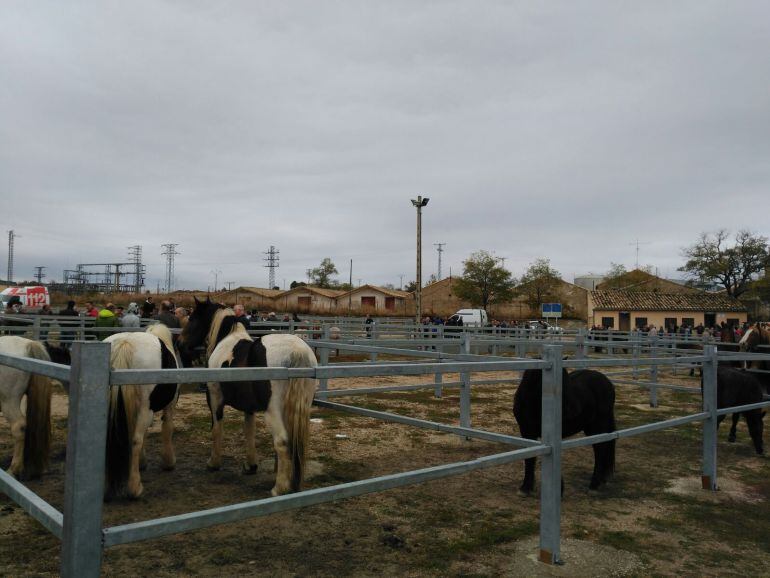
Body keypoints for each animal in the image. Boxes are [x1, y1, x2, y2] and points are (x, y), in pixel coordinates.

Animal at [103, 322, 178, 498]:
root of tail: (125, 343)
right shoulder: (169, 406)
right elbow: (167, 428)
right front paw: (169, 462)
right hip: (145, 408)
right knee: (136, 439)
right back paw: (134, 488)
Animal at [178, 296, 316, 496]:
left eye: (193, 318)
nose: (180, 343)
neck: (226, 340)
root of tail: (296, 351)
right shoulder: (249, 408)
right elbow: (249, 431)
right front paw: (251, 466)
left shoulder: (214, 399)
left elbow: (216, 429)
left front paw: (213, 463)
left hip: (273, 412)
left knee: (282, 442)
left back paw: (279, 488)